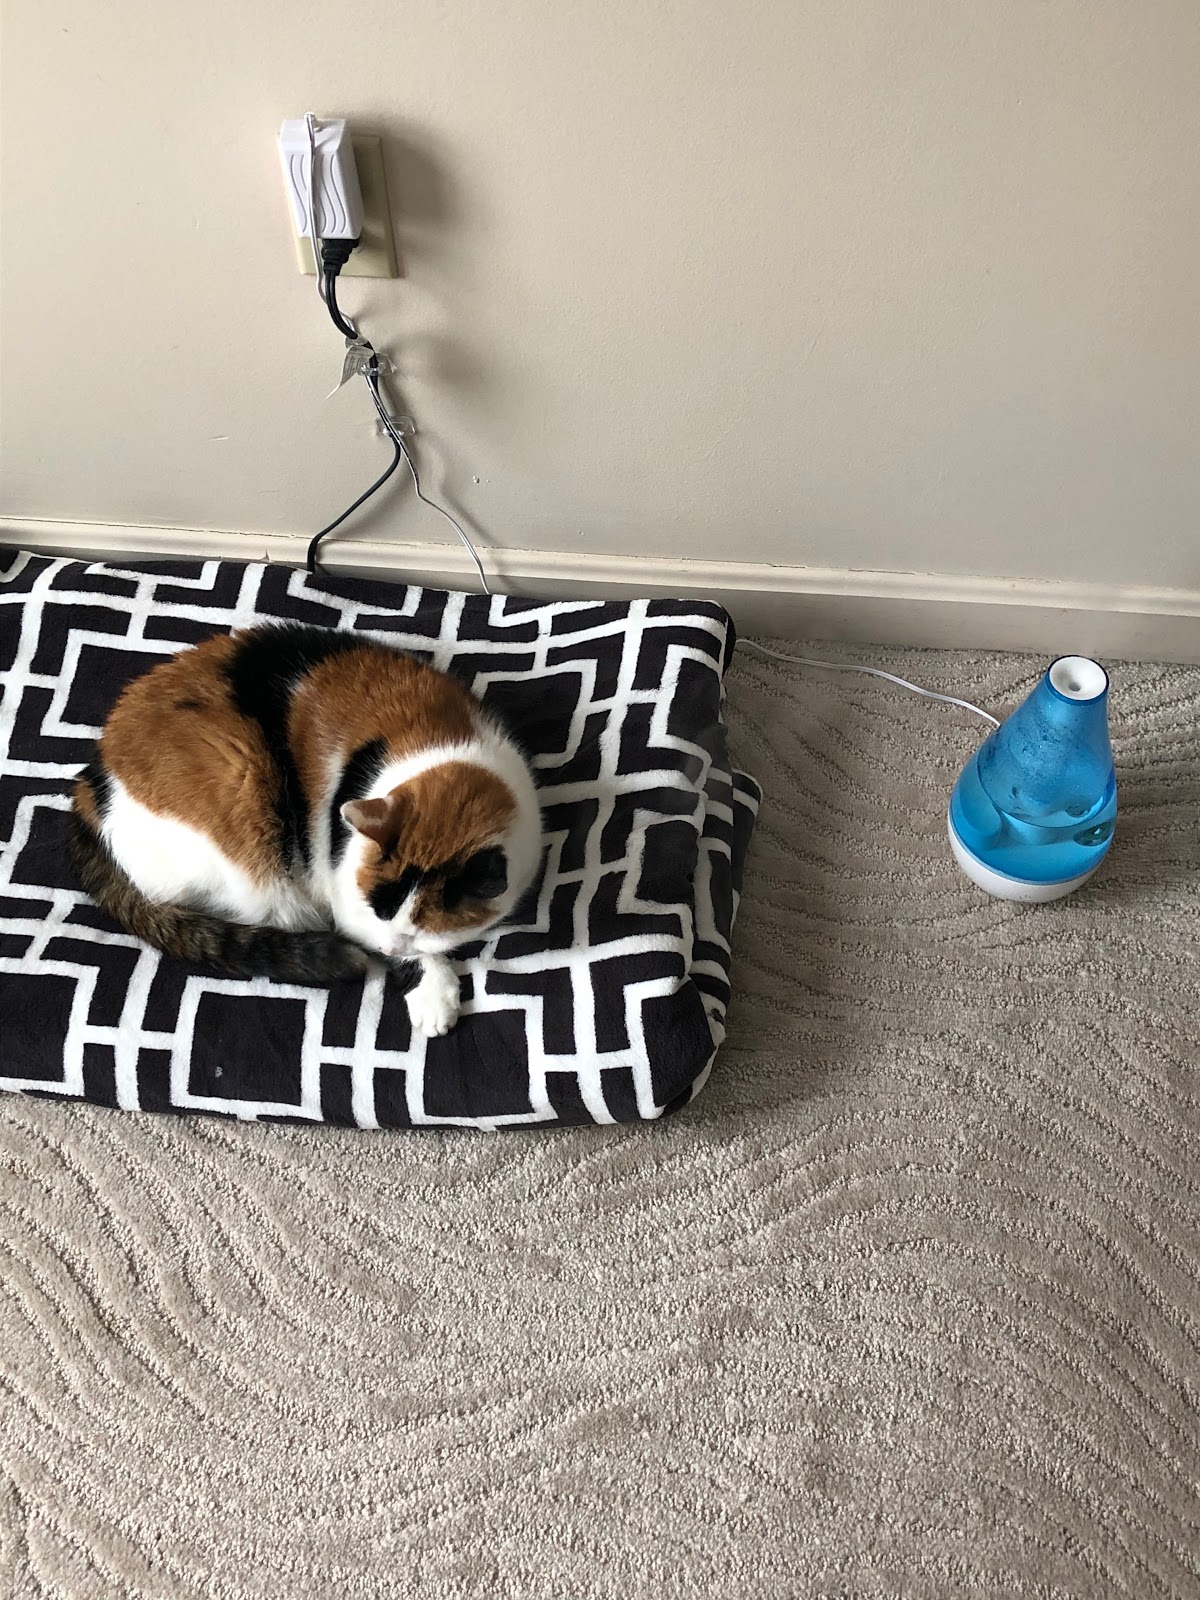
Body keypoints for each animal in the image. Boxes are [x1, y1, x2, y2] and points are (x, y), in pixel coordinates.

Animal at [68, 623, 543, 1038]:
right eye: (380, 913)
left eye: (418, 929)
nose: (391, 949)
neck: (440, 745)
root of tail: (91, 784)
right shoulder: (345, 895)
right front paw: (433, 993)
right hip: (246, 823)